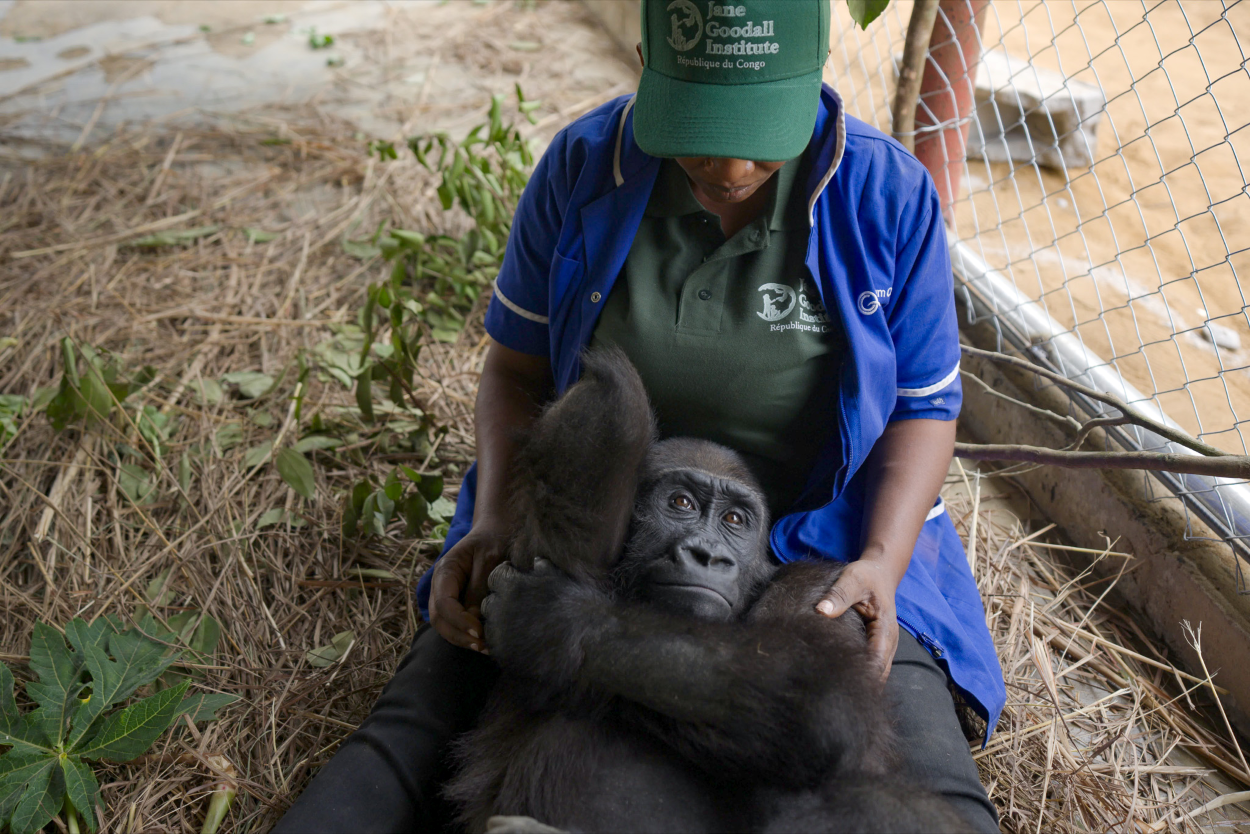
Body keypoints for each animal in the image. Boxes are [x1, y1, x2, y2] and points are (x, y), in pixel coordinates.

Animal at [445, 347, 969, 833]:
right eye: (681, 503)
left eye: (734, 520)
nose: (708, 555)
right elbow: (596, 431)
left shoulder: (820, 590)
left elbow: (825, 701)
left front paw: (555, 624)